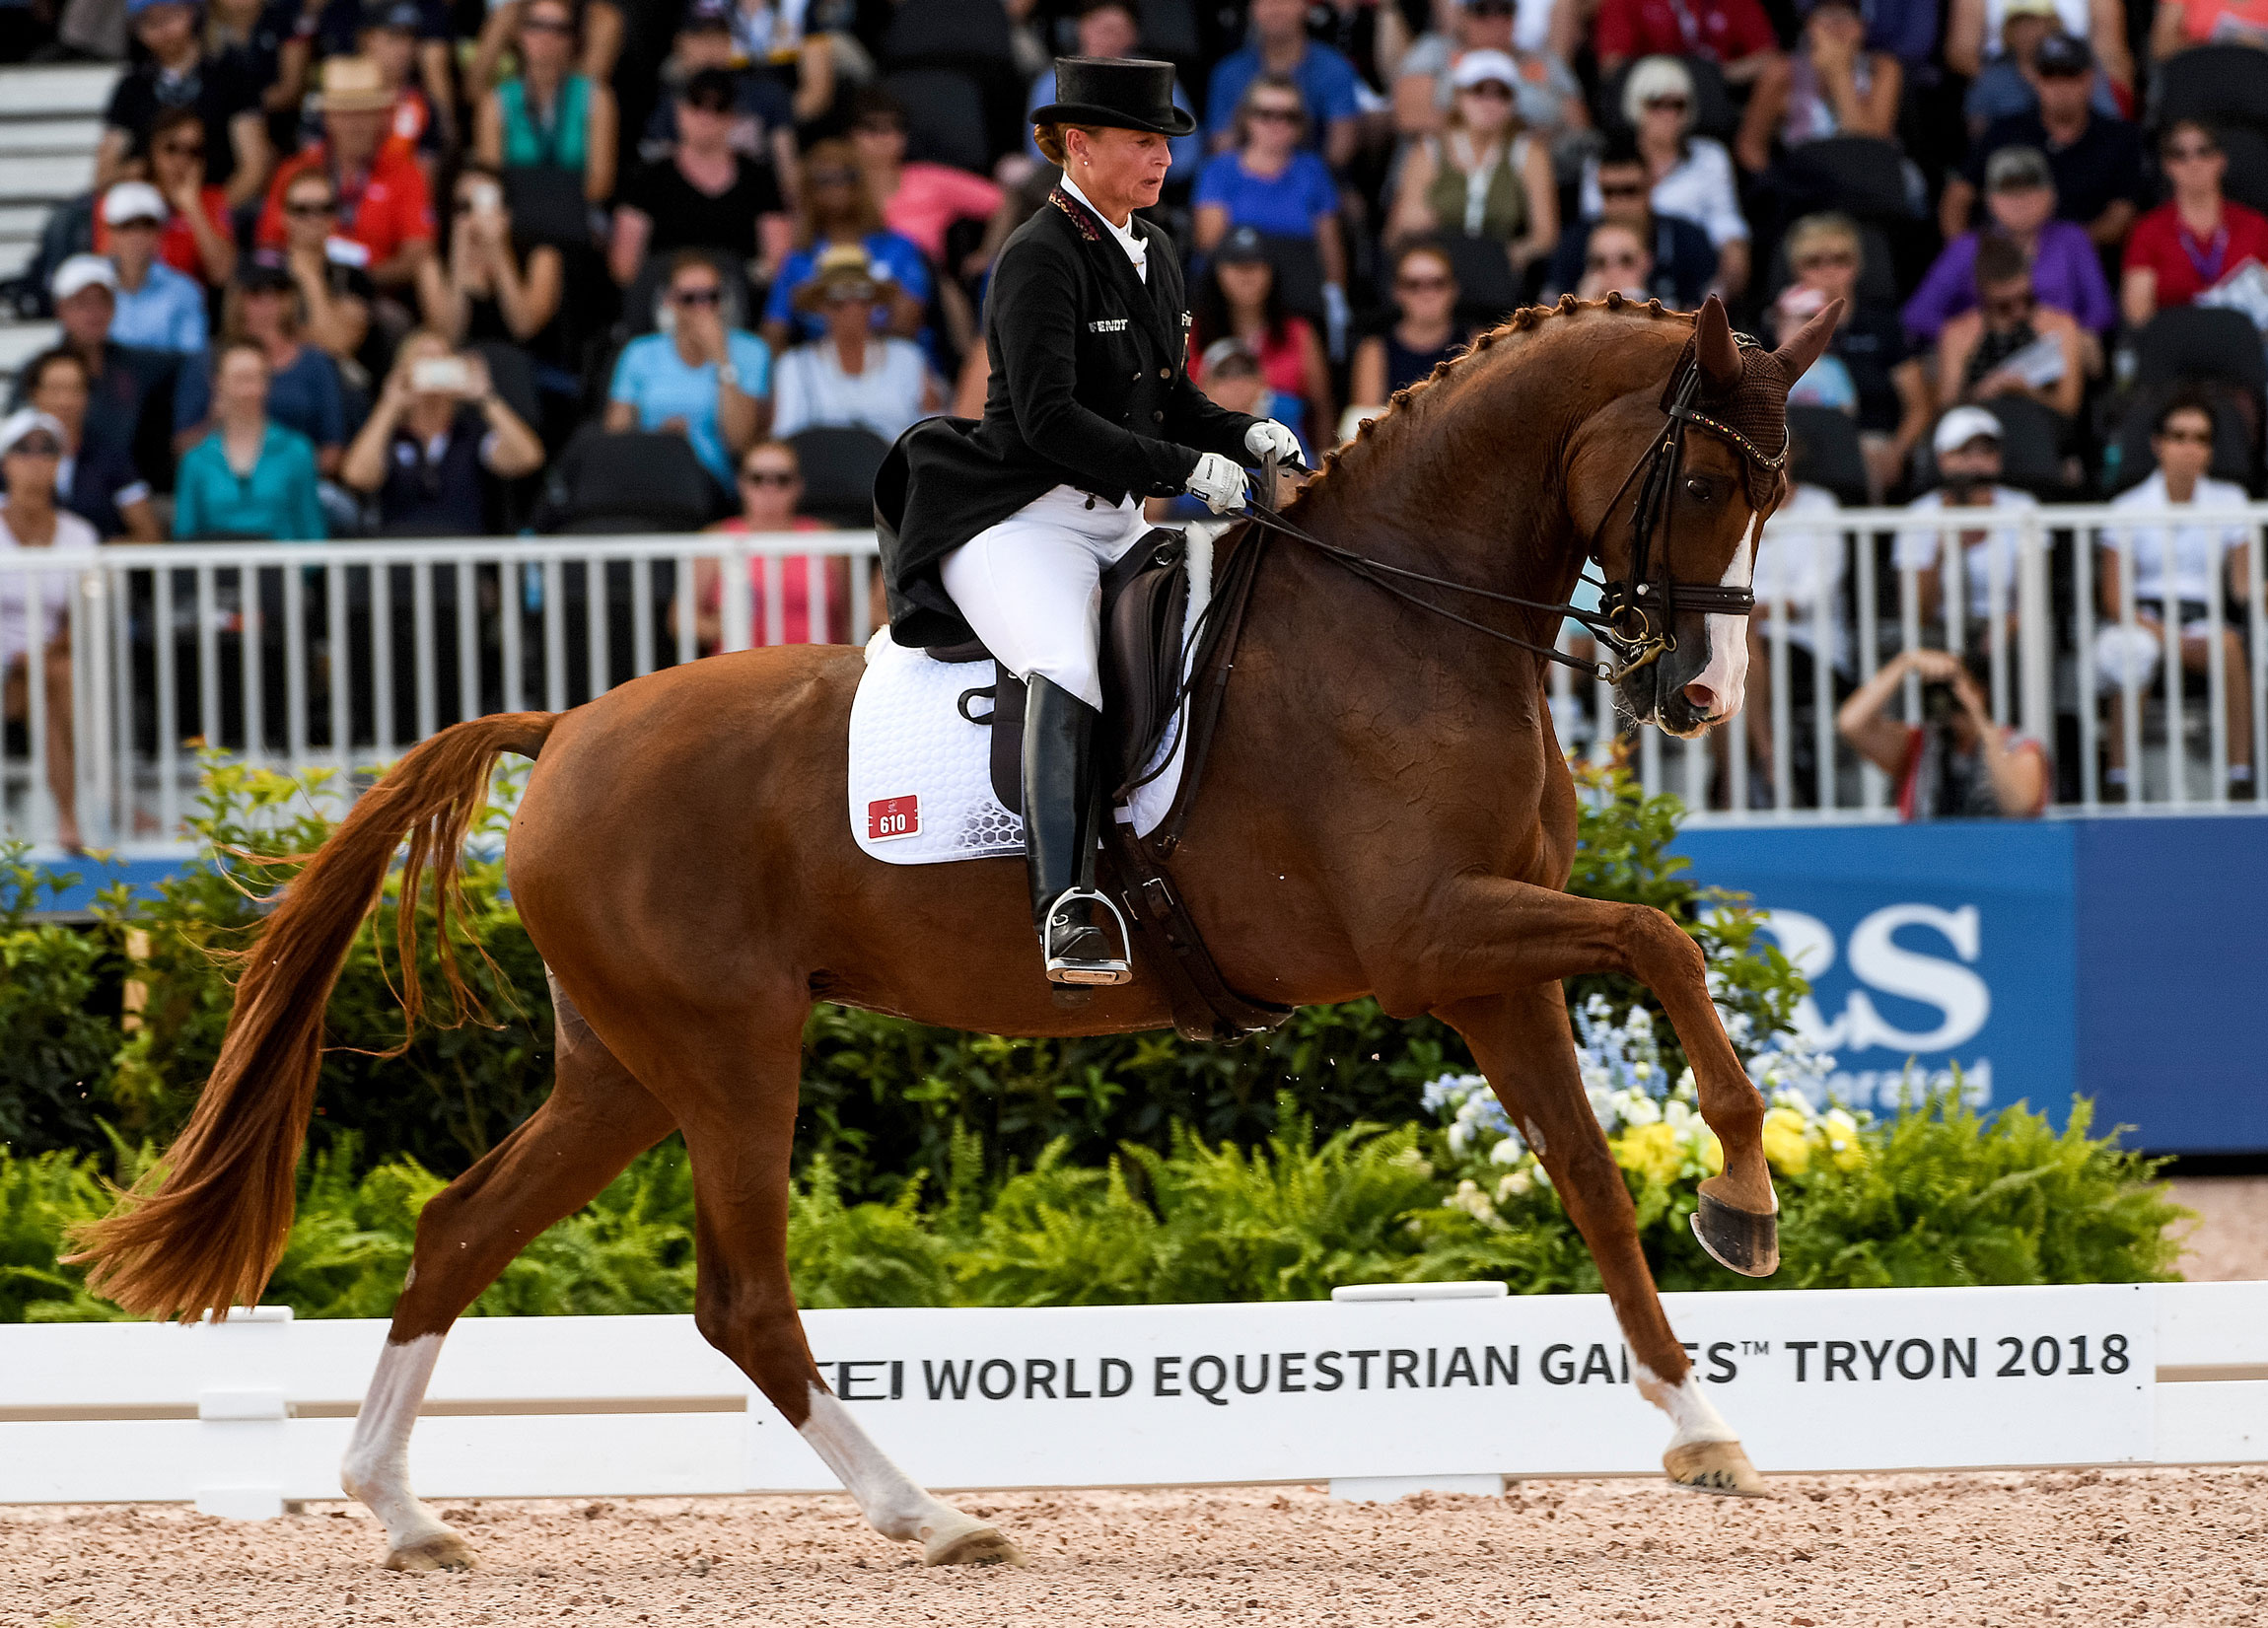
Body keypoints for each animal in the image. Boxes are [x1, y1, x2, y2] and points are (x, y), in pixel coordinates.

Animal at [70, 290, 1841, 1569]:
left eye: (1783, 495)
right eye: (1706, 481)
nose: (1700, 696)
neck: (1407, 612)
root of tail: (564, 727)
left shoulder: (1487, 970)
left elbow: (1594, 1172)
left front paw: (1699, 1420)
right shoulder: (1435, 937)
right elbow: (1666, 943)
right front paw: (1747, 1203)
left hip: (626, 1066)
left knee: (457, 1229)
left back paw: (400, 1508)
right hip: (729, 1051)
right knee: (742, 1298)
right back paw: (930, 1518)